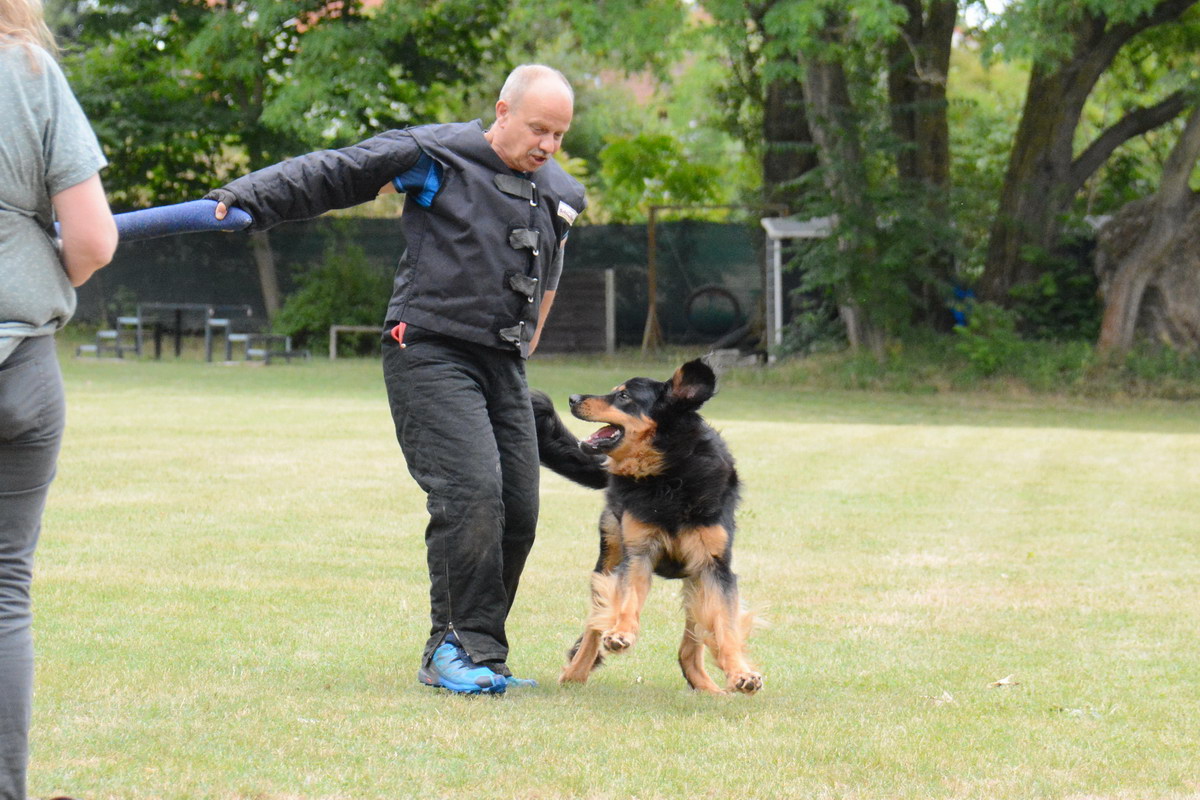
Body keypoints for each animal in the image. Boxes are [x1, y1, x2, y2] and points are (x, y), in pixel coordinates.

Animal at [532, 359, 763, 695]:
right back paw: (577, 670)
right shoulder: (638, 552)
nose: (573, 398)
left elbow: (724, 625)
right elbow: (626, 602)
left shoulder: (713, 565)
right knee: (595, 621)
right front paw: (620, 635)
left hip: (695, 581)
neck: (668, 474)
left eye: (624, 396)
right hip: (610, 554)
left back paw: (708, 688)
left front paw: (740, 673)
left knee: (689, 647)